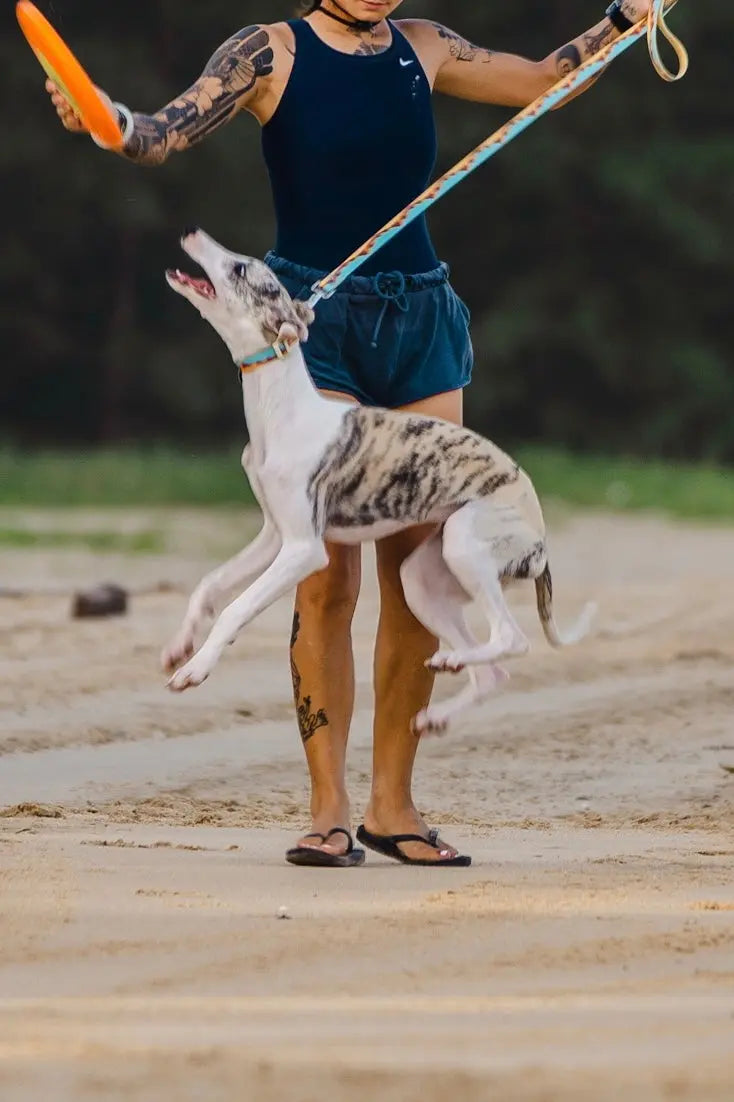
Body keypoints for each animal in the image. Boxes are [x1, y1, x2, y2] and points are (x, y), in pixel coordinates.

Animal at [163, 229, 590, 736]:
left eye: (241, 268)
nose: (192, 234)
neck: (283, 409)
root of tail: (540, 539)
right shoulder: (275, 536)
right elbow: (210, 584)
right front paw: (181, 643)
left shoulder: (304, 550)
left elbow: (236, 608)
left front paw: (196, 668)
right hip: (424, 580)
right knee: (493, 673)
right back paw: (437, 705)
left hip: (465, 542)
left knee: (513, 638)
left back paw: (452, 664)